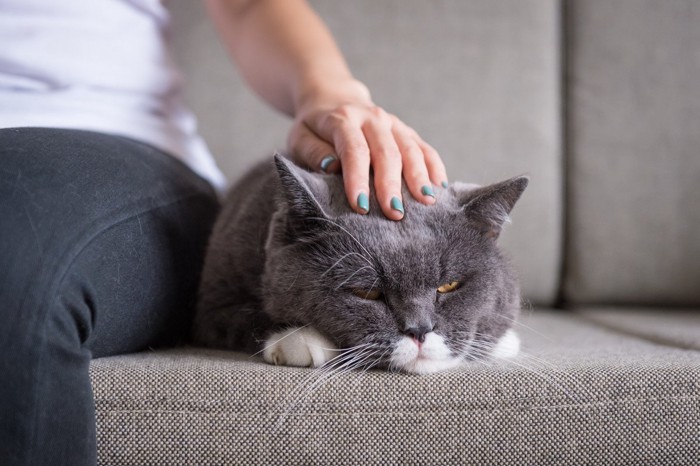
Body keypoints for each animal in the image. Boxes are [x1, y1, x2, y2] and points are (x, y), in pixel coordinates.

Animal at [191, 157, 524, 374]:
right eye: (367, 292)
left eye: (449, 285)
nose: (420, 330)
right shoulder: (210, 307)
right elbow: (250, 316)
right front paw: (300, 340)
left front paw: (503, 342)